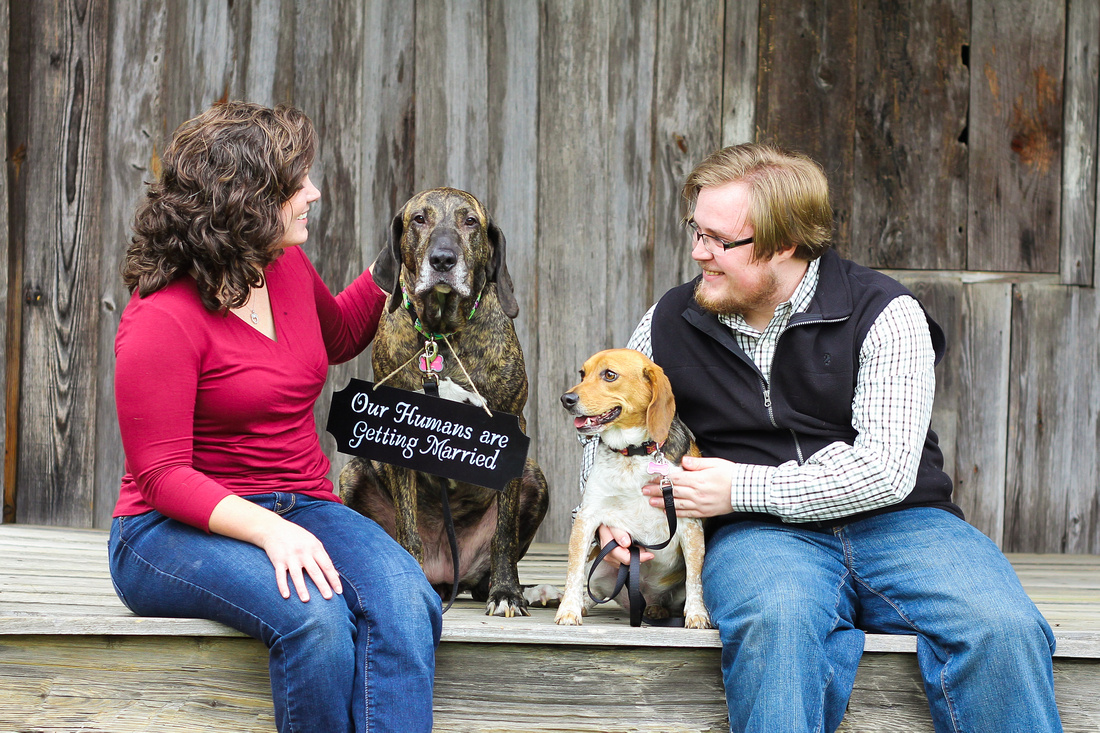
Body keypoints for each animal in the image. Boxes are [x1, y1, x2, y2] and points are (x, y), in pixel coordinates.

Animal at [338, 186, 550, 611]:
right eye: (420, 218)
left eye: (470, 222)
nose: (443, 259)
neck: (440, 332)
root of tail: (447, 575)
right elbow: (408, 528)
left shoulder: (511, 427)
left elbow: (504, 532)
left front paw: (507, 593)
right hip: (351, 473)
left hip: (535, 477)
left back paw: (519, 589)